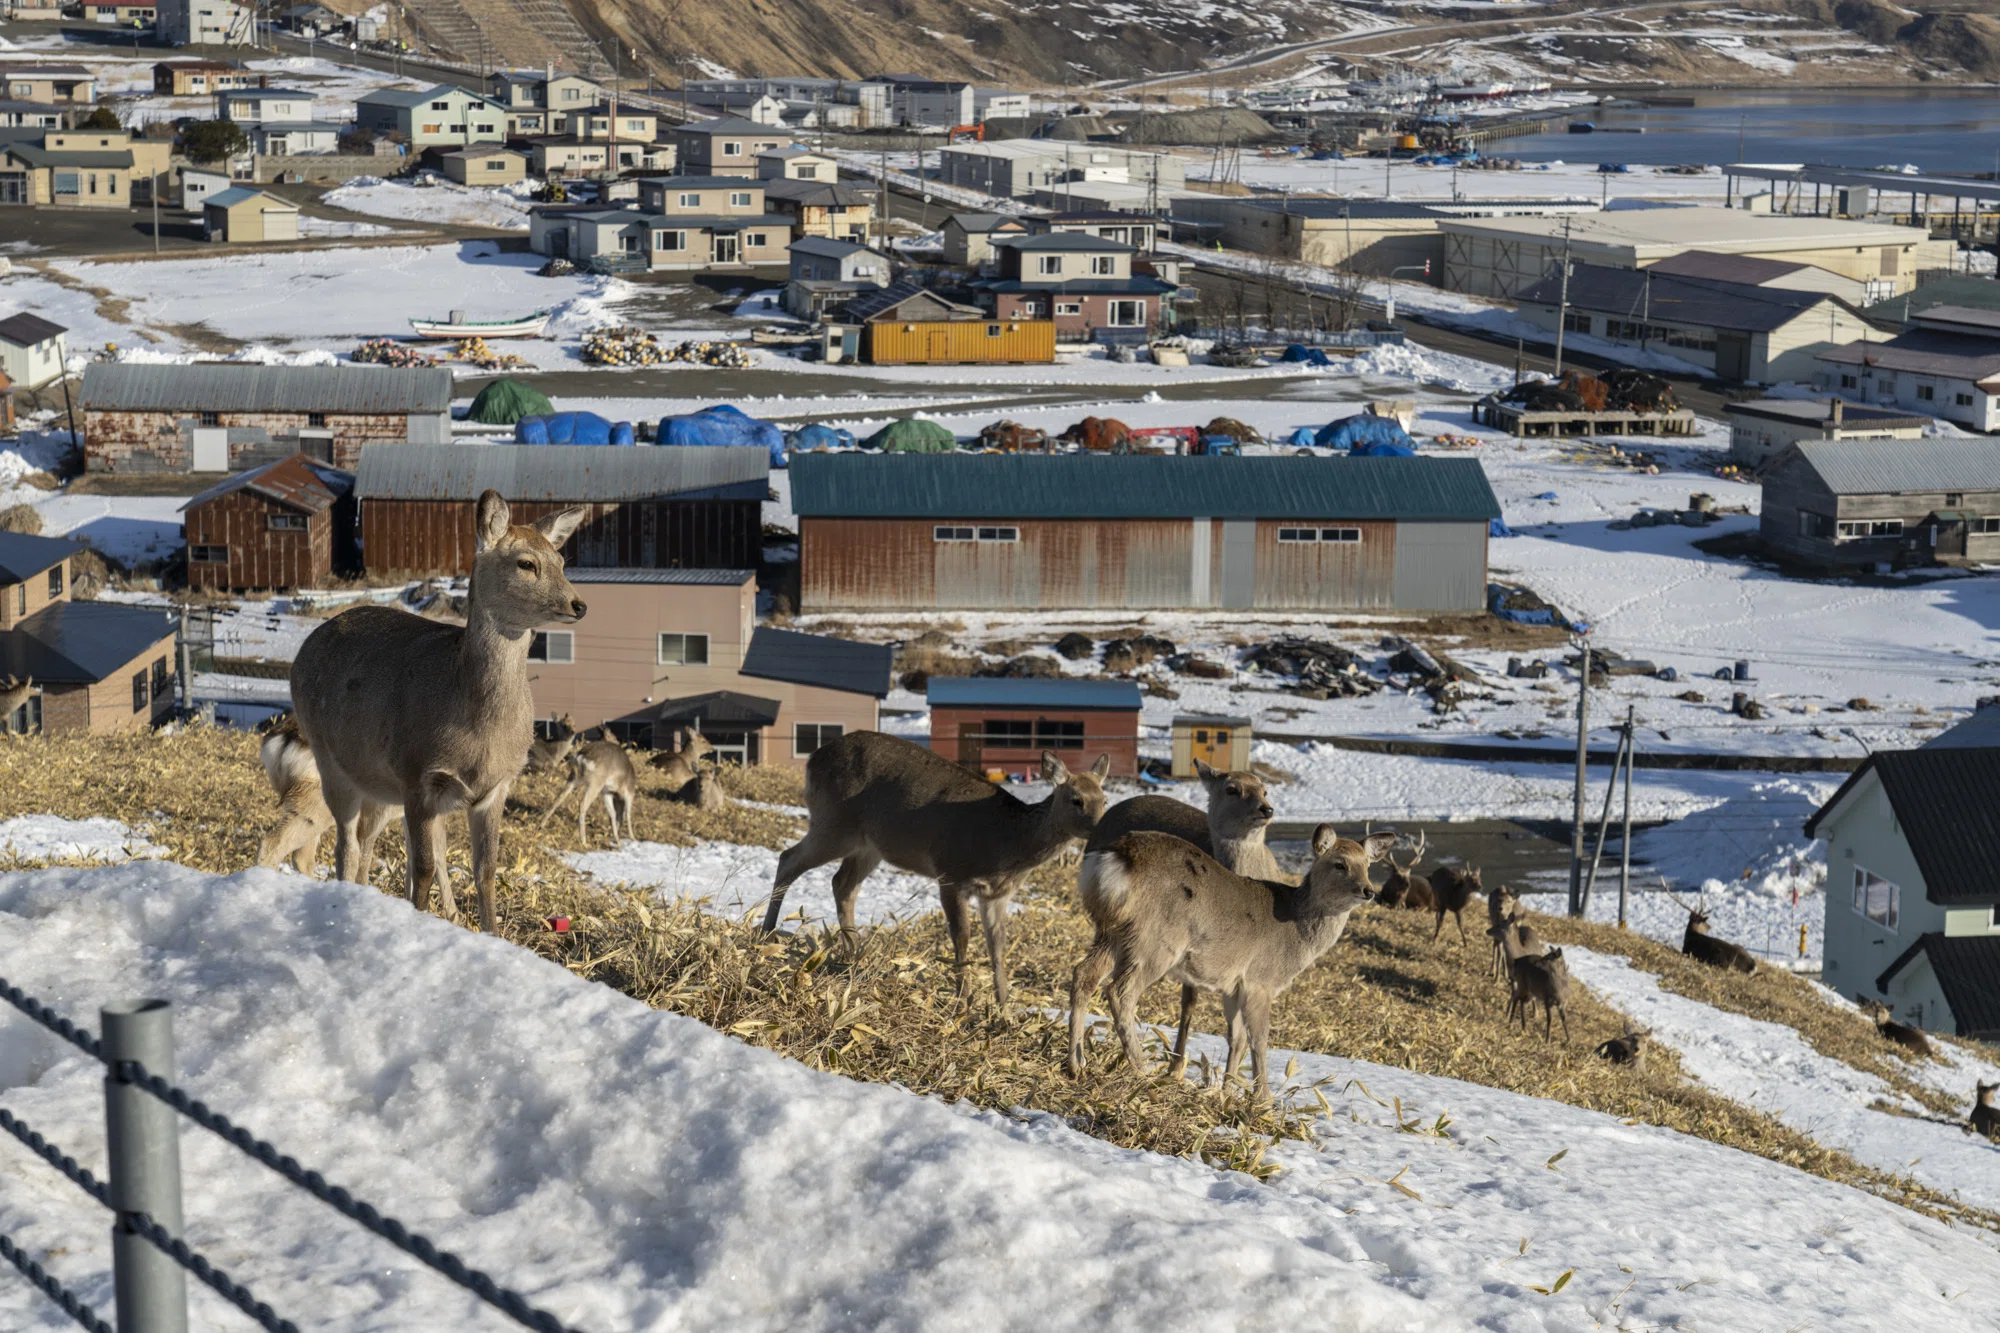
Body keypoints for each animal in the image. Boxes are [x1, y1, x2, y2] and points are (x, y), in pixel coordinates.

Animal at [289, 490, 588, 935]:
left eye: (562, 562)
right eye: (526, 563)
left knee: (367, 840)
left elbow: (485, 870)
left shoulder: (497, 786)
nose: (578, 604)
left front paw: (491, 934)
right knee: (347, 843)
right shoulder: (417, 775)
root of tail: (305, 647)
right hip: (332, 760)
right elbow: (425, 866)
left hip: (382, 788)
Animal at [763, 730, 1109, 1005]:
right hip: (834, 823)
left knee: (842, 884)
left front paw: (1004, 1010)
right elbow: (962, 936)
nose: (1100, 827)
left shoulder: (997, 895)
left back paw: (855, 956)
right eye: (1076, 799)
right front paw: (964, 1001)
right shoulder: (951, 872)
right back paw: (766, 935)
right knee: (788, 859)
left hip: (869, 845)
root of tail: (812, 760)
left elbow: (998, 947)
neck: (1007, 843)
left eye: (1104, 799)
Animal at [1068, 825, 1393, 1098]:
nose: (1368, 890)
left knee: (1083, 973)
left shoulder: (1233, 985)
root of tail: (1116, 859)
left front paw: (1226, 1092)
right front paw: (1263, 1100)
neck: (1296, 934)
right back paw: (1143, 1070)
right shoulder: (1260, 980)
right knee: (1120, 991)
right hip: (1156, 940)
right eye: (1339, 864)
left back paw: (1076, 1064)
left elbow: (1235, 1039)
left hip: (1111, 932)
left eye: (1367, 865)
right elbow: (1259, 1039)